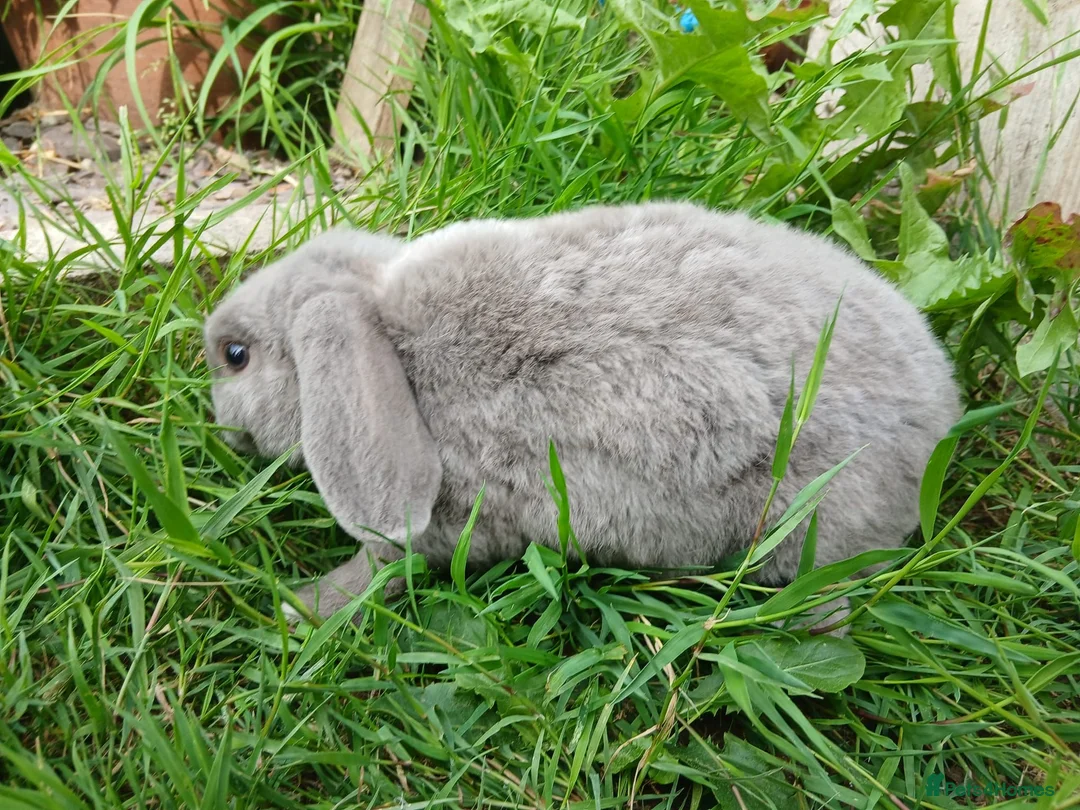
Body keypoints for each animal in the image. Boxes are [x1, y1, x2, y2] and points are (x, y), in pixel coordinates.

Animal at [203, 201, 961, 632]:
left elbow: (384, 564)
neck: (399, 357)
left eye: (235, 355)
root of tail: (941, 418)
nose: (223, 430)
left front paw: (298, 607)